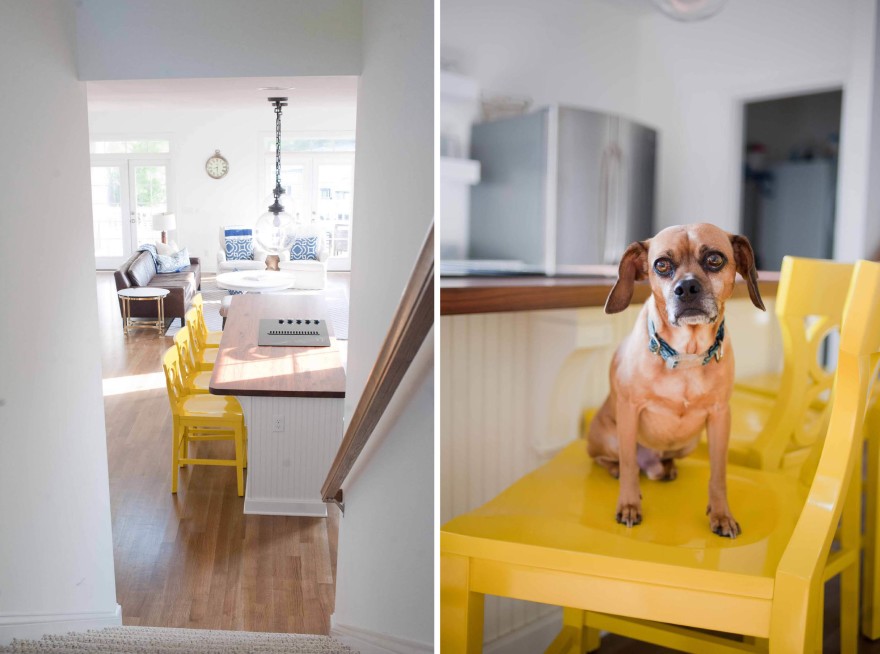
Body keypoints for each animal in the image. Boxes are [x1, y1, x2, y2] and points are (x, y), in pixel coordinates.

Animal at [592, 223, 764, 540]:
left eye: (714, 259)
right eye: (661, 265)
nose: (686, 288)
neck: (686, 355)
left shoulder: (720, 417)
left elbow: (718, 474)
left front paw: (721, 515)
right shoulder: (629, 411)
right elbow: (629, 465)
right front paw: (629, 505)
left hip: (689, 442)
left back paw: (667, 468)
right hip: (610, 437)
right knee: (615, 461)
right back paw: (617, 469)